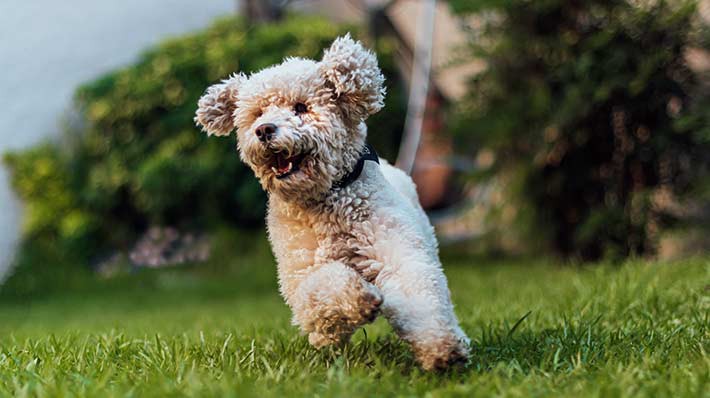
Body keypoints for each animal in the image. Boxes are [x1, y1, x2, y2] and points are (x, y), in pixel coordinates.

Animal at [196, 34, 472, 370]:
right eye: (258, 113)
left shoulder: (396, 251)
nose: (264, 130)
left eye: (301, 107)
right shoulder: (300, 275)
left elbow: (417, 292)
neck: (327, 201)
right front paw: (359, 298)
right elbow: (323, 288)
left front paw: (442, 348)